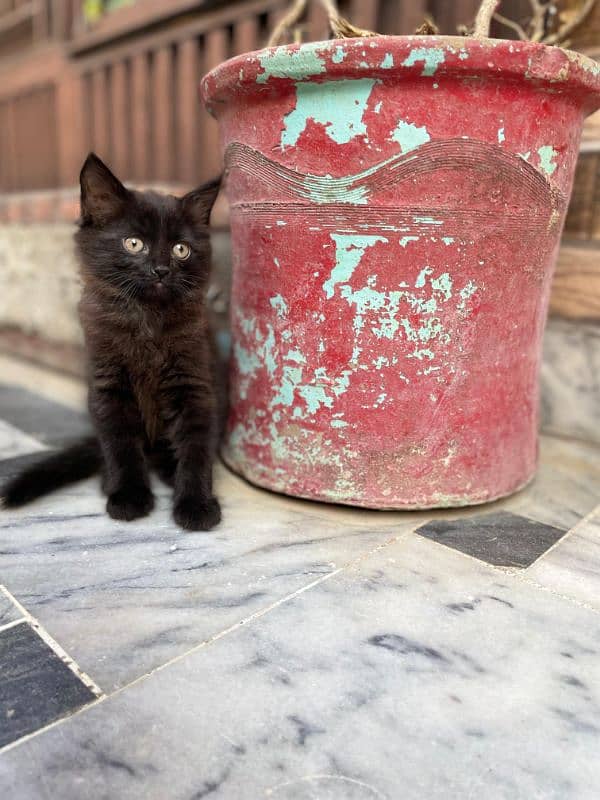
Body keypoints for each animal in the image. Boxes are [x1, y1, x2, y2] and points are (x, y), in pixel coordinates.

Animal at [2, 155, 223, 532]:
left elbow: (196, 446)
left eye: (181, 249)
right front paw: (129, 497)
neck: (146, 319)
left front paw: (196, 504)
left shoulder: (194, 382)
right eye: (134, 243)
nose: (161, 269)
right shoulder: (108, 386)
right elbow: (120, 445)